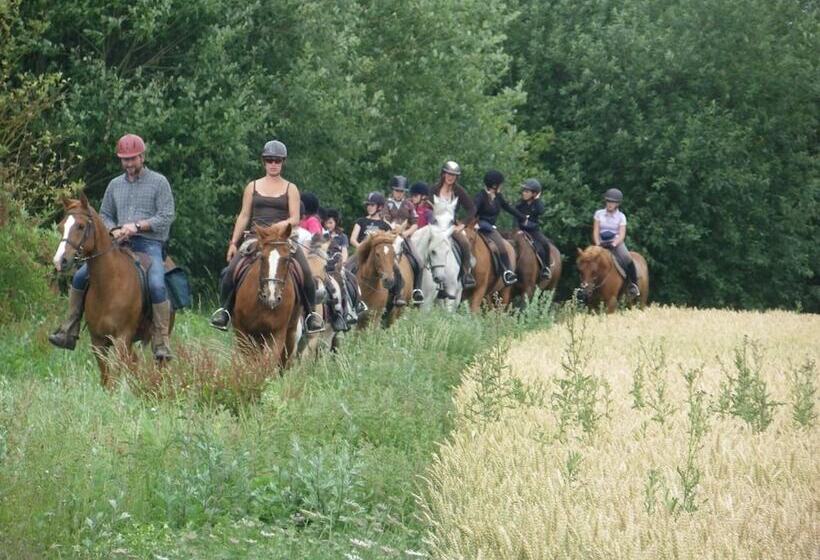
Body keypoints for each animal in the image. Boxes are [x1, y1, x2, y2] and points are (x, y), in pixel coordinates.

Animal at [232, 223, 302, 368]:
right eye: (262, 258)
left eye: (287, 259)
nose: (272, 297)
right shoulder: (242, 331)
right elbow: (251, 360)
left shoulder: (277, 332)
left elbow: (268, 362)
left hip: (290, 335)